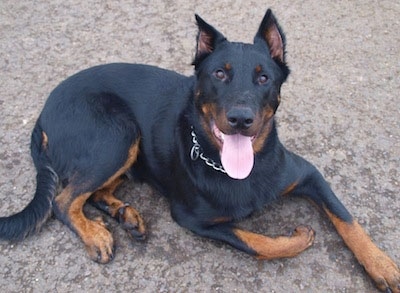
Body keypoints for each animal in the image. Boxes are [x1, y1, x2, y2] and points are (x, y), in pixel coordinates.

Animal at [0, 9, 400, 290]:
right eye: (219, 74)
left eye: (264, 77)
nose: (240, 119)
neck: (240, 169)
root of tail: (42, 115)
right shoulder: (192, 218)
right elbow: (257, 242)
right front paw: (297, 239)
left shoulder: (308, 174)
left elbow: (347, 219)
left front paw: (382, 265)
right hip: (118, 134)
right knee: (64, 199)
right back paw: (95, 233)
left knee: (92, 191)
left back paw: (123, 214)